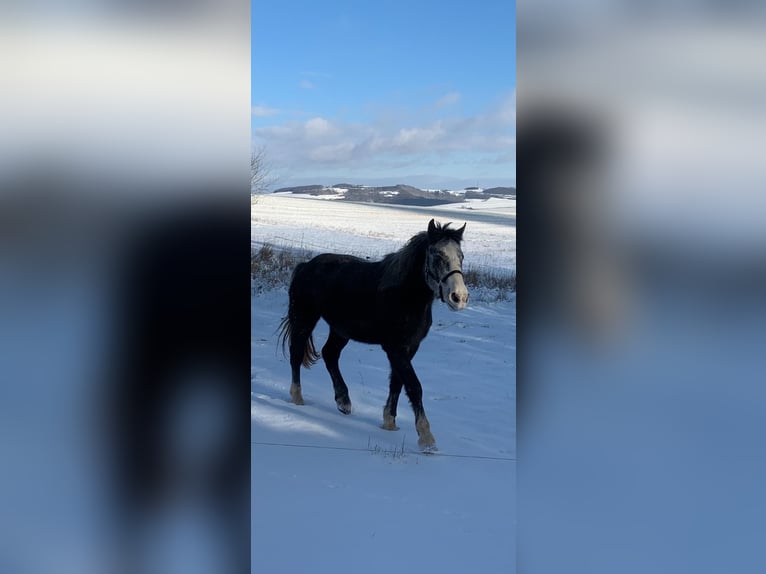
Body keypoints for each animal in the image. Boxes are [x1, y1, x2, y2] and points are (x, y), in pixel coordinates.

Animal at [277, 219, 469, 451]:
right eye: (438, 255)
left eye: (461, 256)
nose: (459, 298)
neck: (405, 296)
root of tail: (305, 266)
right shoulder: (395, 348)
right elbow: (414, 386)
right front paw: (426, 438)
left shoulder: (409, 347)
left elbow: (397, 383)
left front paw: (389, 423)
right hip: (305, 320)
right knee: (297, 354)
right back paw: (298, 399)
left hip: (340, 331)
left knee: (330, 354)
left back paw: (343, 401)